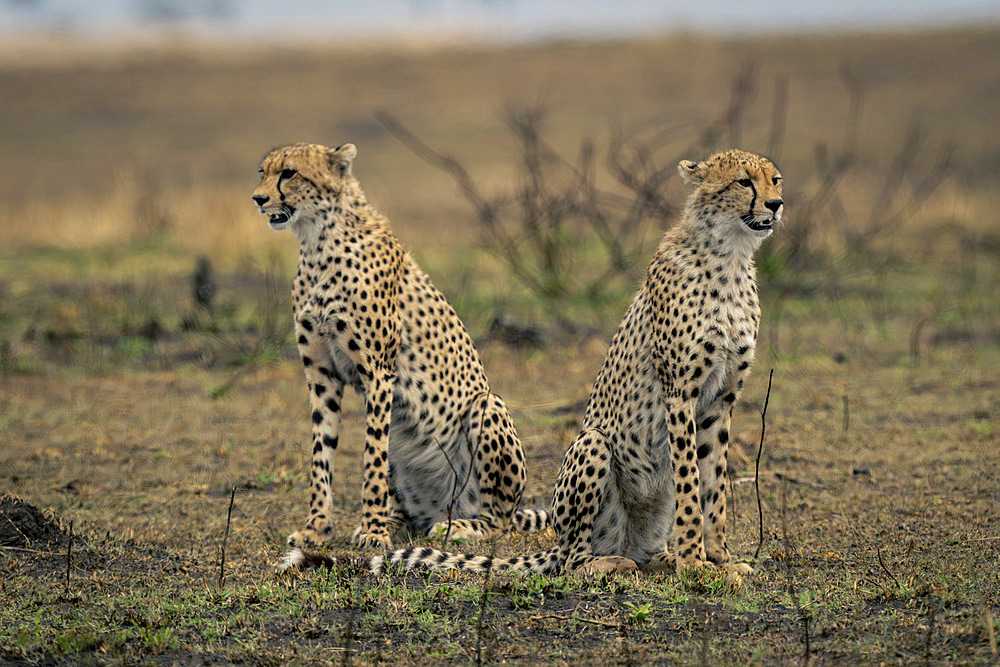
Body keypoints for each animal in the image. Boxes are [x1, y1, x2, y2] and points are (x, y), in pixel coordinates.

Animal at [250, 144, 548, 568]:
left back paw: (460, 526)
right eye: (263, 172)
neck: (317, 242)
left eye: (289, 173)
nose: (258, 199)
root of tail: (445, 509)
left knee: (497, 519)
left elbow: (371, 457)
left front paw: (374, 531)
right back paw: (398, 518)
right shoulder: (321, 376)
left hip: (486, 405)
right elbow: (321, 455)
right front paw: (316, 530)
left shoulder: (378, 373)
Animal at [372, 149, 784, 576]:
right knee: (573, 558)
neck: (730, 257)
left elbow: (713, 486)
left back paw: (659, 558)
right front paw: (694, 563)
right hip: (592, 444)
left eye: (775, 179)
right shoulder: (679, 394)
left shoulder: (720, 401)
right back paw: (609, 563)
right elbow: (690, 484)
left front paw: (721, 560)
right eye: (743, 182)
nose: (776, 204)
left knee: (640, 548)